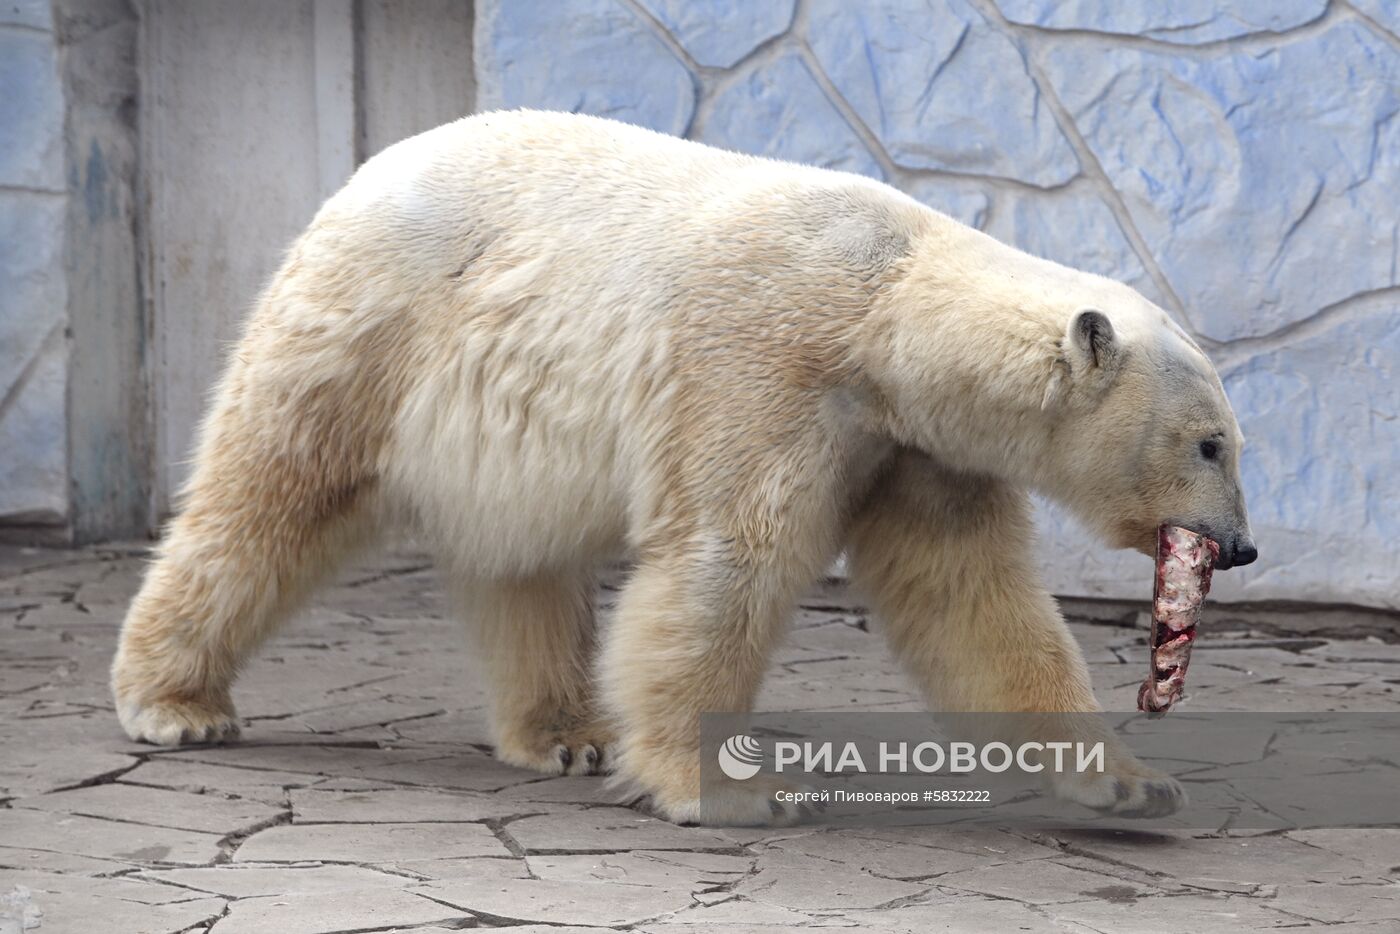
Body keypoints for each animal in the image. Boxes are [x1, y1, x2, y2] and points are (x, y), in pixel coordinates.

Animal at [114, 111, 1260, 823]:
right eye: (1210, 442)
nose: (1243, 547)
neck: (885, 304)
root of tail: (358, 175)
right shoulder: (762, 368)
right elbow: (724, 565)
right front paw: (732, 790)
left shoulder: (916, 446)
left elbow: (976, 603)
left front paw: (1130, 786)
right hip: (370, 332)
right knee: (270, 494)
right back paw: (175, 700)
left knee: (520, 559)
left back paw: (563, 731)